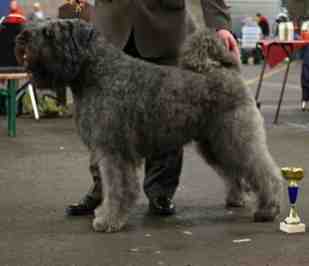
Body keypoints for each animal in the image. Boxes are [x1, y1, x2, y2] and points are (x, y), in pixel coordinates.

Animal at [16, 19, 282, 233]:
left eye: (50, 33)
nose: (21, 37)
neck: (98, 73)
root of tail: (228, 71)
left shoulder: (114, 152)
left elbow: (117, 188)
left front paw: (108, 220)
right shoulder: (105, 151)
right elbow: (110, 187)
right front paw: (104, 213)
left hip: (236, 138)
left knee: (264, 172)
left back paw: (268, 210)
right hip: (216, 144)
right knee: (234, 172)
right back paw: (236, 198)